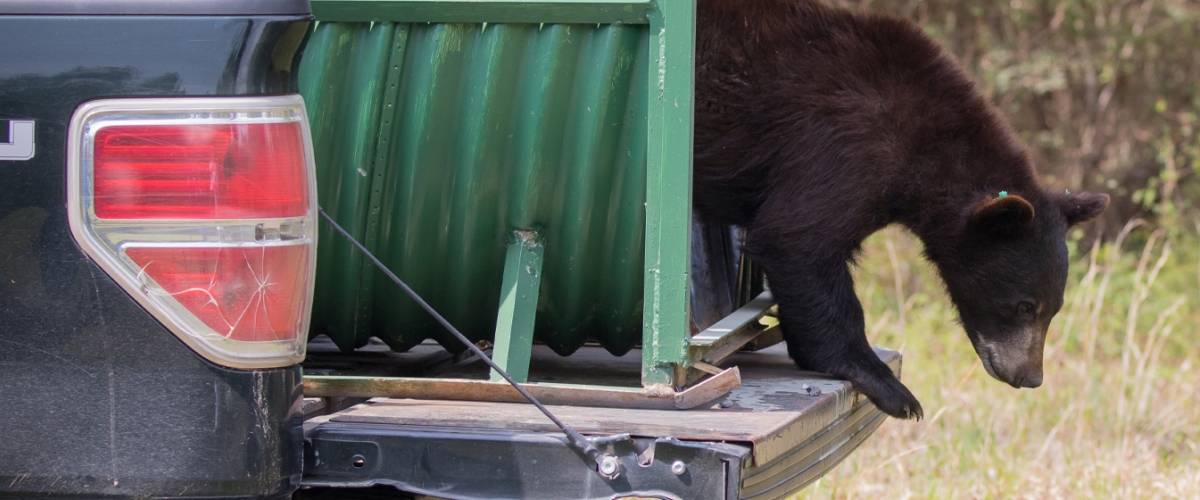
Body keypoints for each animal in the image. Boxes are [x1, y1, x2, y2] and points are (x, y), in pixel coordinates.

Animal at [696, 0, 1104, 417]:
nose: (1030, 377)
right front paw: (889, 386)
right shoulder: (841, 146)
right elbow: (795, 239)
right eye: (1025, 306)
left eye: (1055, 307)